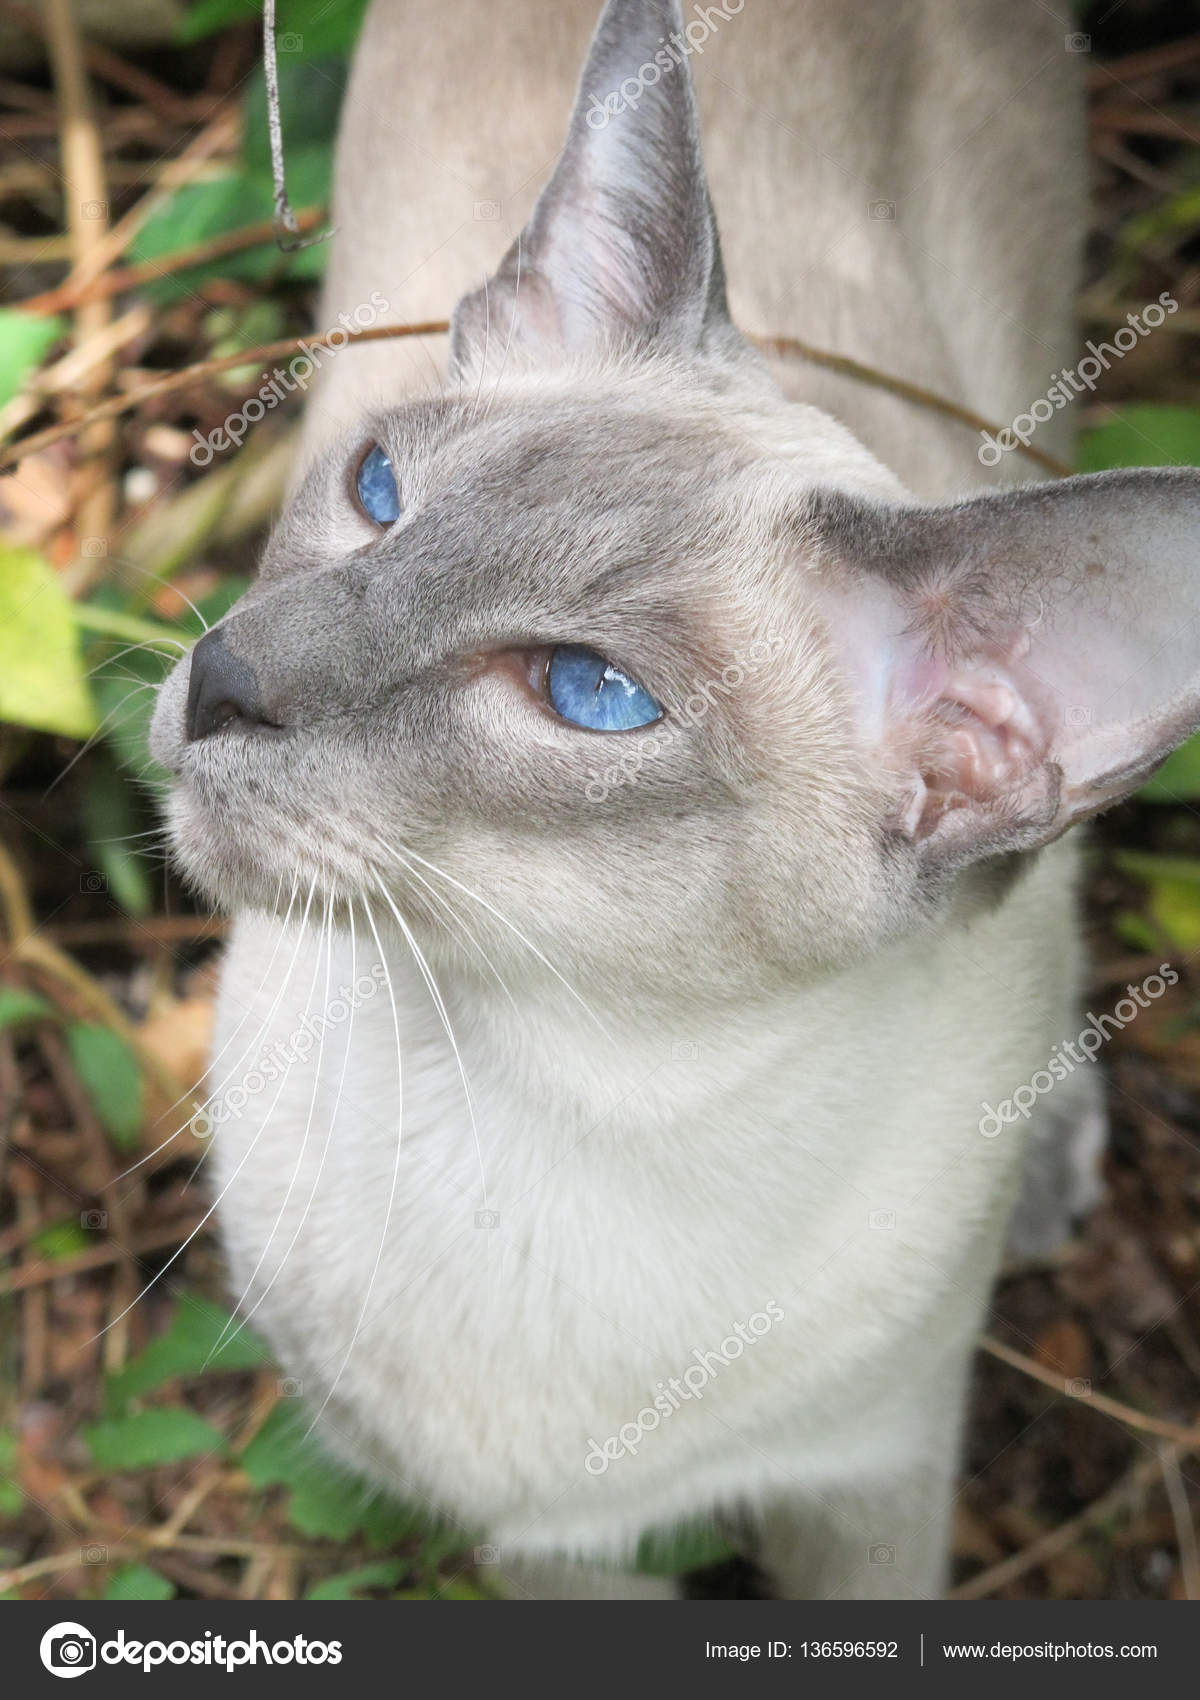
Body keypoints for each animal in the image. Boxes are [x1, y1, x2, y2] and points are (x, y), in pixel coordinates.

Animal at [149, 0, 1196, 1598]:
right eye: (378, 492)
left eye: (590, 693)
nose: (225, 677)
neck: (571, 1100)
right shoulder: (545, 1546)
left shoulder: (871, 1482)